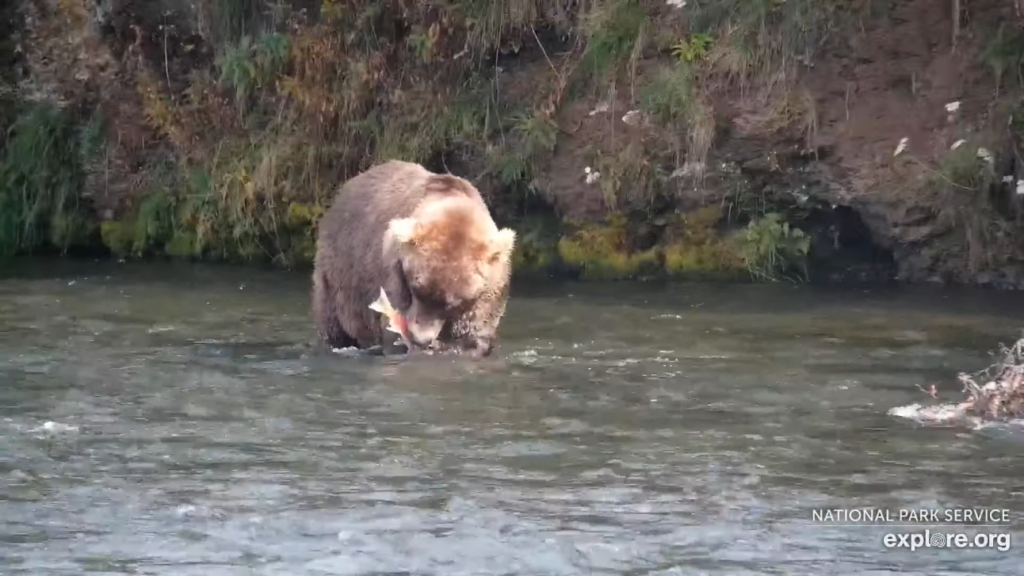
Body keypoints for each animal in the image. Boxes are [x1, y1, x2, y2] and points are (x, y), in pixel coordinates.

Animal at [311, 158, 516, 356]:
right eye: (415, 288)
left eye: (452, 303)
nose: (420, 338)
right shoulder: (392, 272)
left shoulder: (489, 289)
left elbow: (475, 331)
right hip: (338, 269)